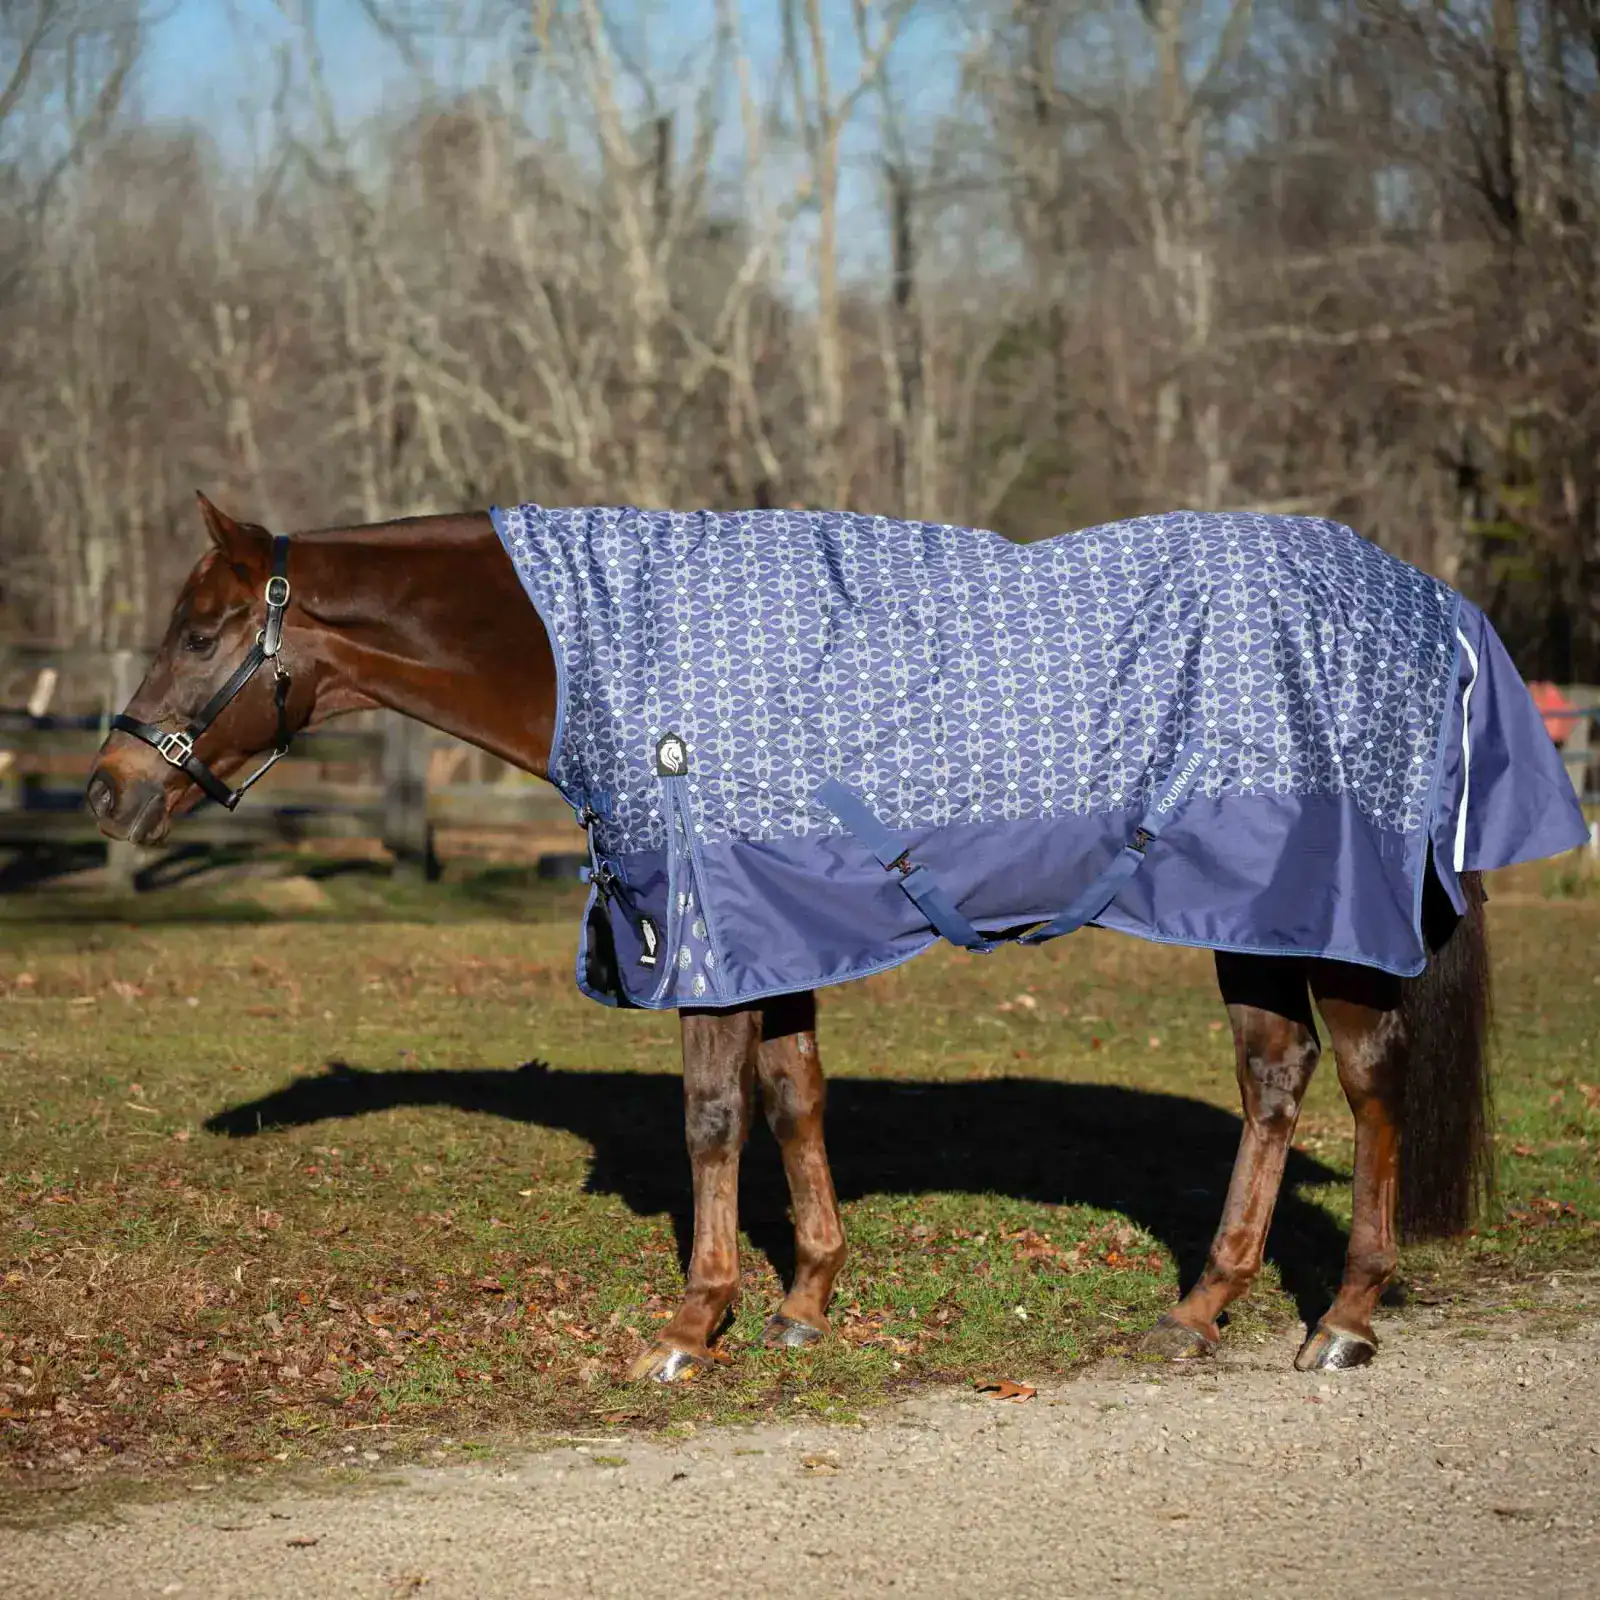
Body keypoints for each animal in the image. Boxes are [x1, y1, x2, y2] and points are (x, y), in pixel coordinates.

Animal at [86, 495, 1585, 1381]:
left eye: (204, 628)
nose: (108, 790)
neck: (611, 642)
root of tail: (1435, 608)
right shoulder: (778, 928)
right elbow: (792, 1098)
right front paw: (804, 1300)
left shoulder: (705, 926)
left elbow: (710, 1115)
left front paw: (693, 1324)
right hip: (1250, 915)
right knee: (1274, 1085)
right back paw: (1202, 1309)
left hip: (1328, 914)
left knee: (1370, 1086)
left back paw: (1342, 1322)